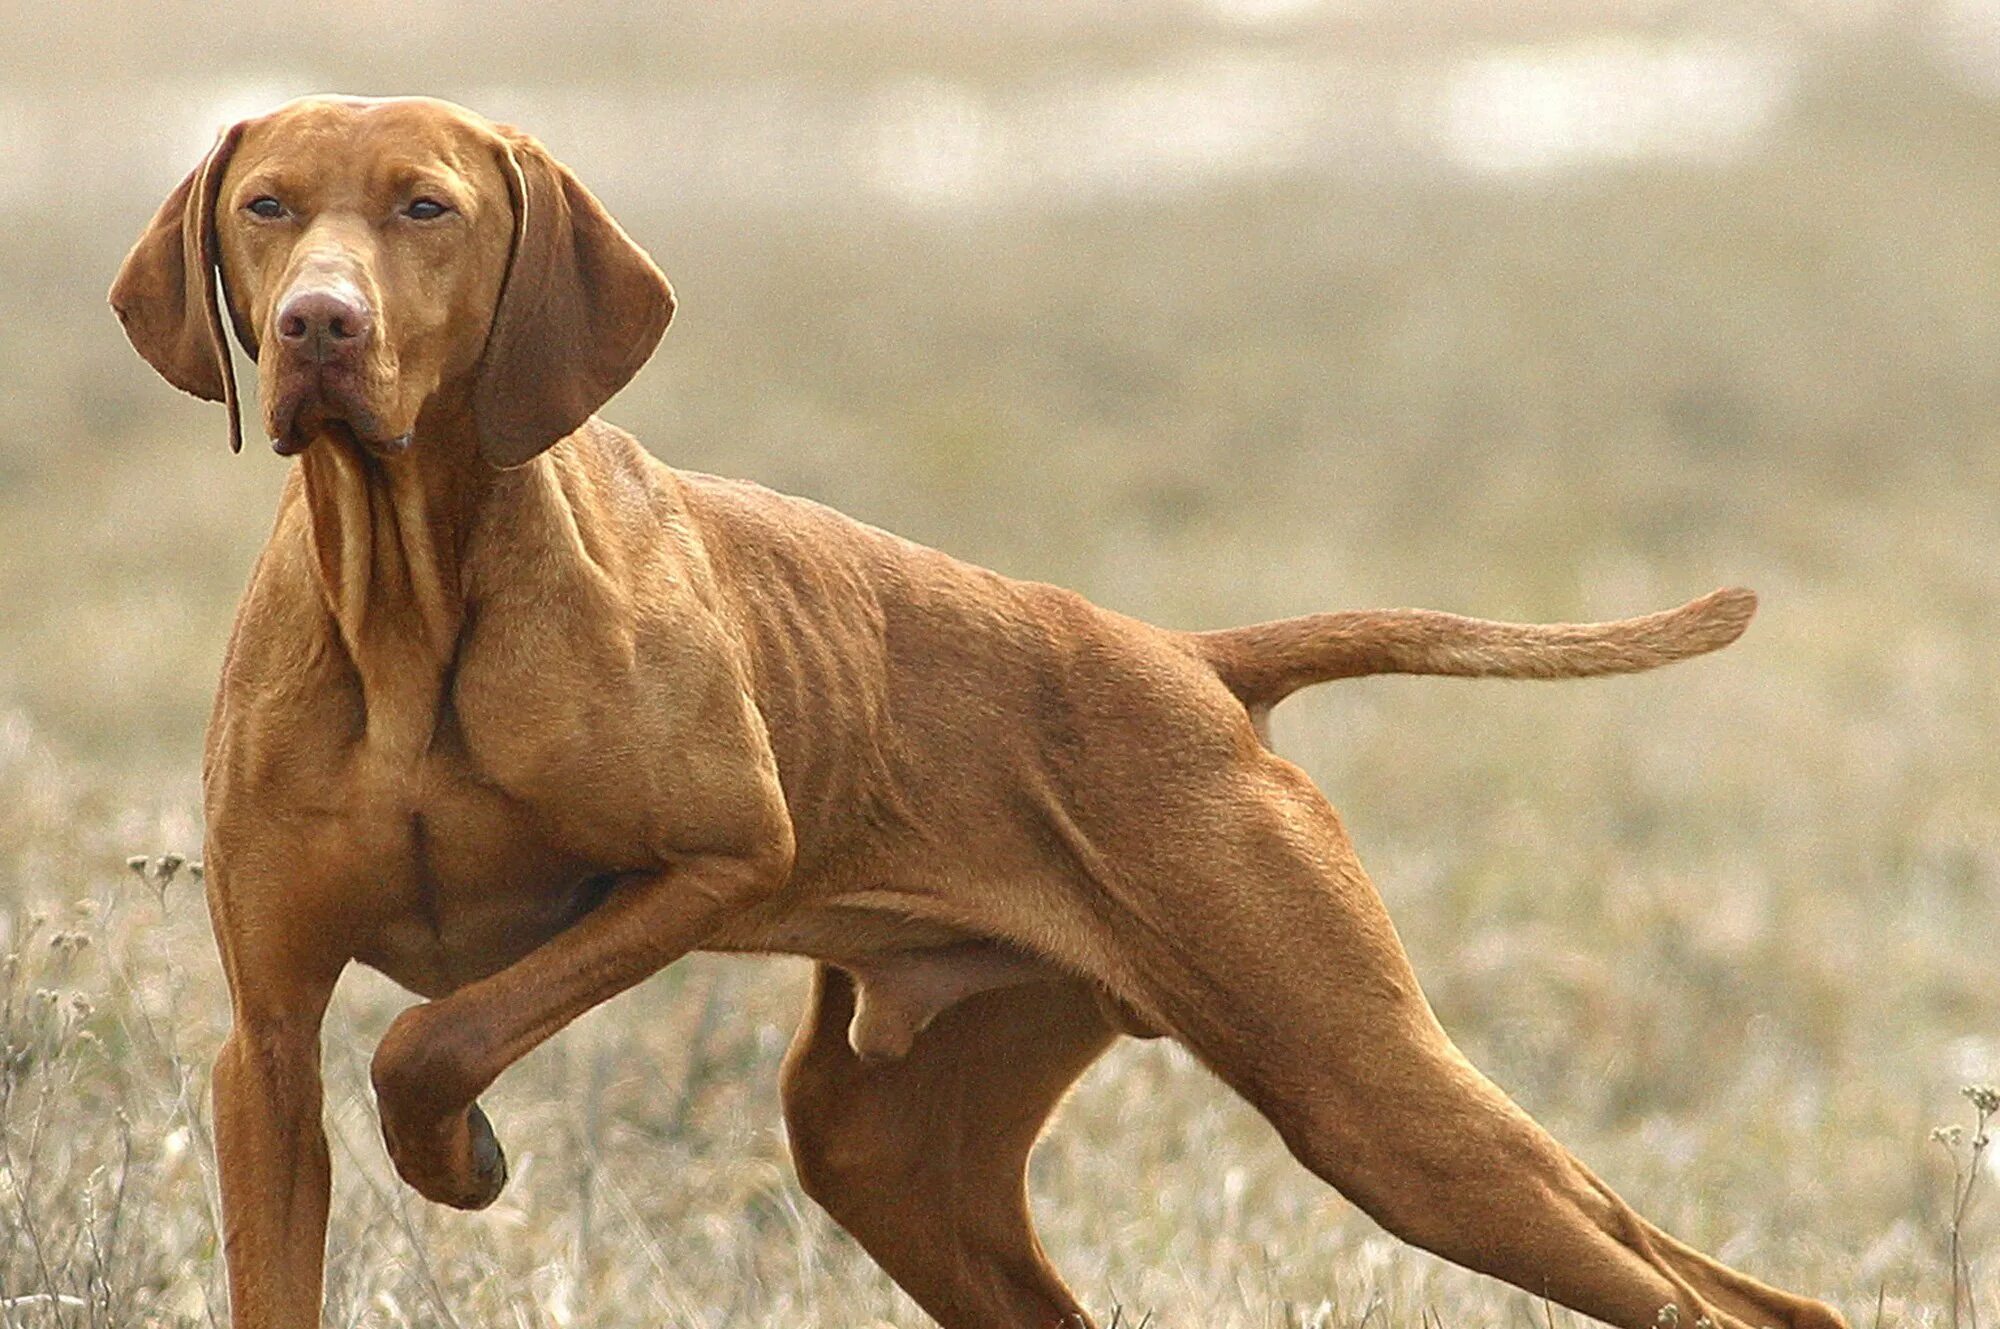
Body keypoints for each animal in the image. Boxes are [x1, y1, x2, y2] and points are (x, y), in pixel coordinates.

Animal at [109, 96, 1848, 1329]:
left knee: (1723, 1301)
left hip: (1373, 1098)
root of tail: (1195, 661)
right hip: (887, 1143)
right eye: (267, 209)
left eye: (429, 208)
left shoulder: (727, 855)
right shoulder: (265, 1049)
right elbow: (346, 1106)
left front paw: (456, 1155)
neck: (409, 607)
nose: (319, 326)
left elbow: (430, 1035)